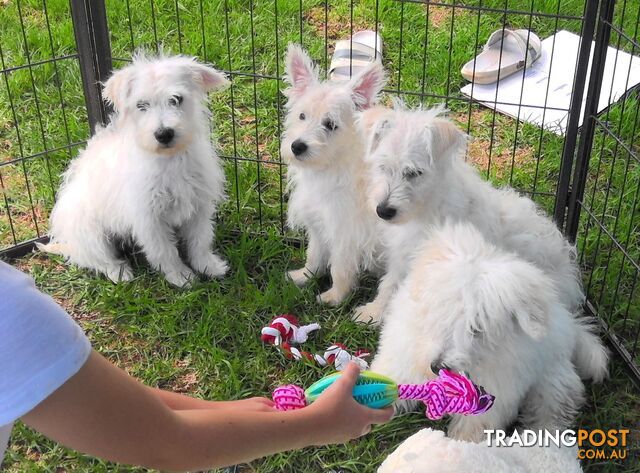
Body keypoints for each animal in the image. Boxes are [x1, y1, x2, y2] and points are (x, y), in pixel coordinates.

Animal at [40, 54, 230, 286]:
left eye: (176, 99)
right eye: (141, 105)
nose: (164, 134)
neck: (169, 160)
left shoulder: (199, 206)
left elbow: (200, 240)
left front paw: (208, 266)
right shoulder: (149, 219)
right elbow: (164, 251)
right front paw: (180, 276)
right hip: (90, 232)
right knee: (99, 259)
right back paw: (119, 272)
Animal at [282, 43, 388, 302]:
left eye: (330, 125)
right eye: (302, 116)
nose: (297, 146)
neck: (329, 169)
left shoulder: (345, 234)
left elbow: (340, 267)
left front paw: (335, 297)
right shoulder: (319, 225)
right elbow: (314, 255)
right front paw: (304, 277)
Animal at [358, 104, 588, 324]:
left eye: (414, 173)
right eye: (382, 166)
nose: (383, 211)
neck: (430, 205)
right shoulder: (402, 253)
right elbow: (390, 283)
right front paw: (373, 313)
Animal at [368, 223, 608, 440]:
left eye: (477, 329)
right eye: (440, 313)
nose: (437, 367)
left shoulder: (499, 385)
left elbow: (476, 423)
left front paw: (463, 444)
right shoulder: (404, 350)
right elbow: (393, 378)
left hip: (553, 376)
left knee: (554, 405)